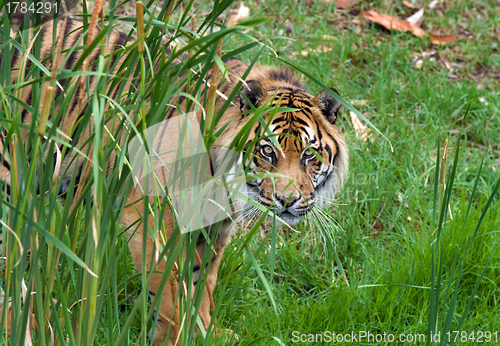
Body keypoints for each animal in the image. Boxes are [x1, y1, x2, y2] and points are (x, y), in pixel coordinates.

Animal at [0, 12, 350, 344]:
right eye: (267, 151)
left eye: (309, 155)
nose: (288, 200)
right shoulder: (149, 217)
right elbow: (168, 291)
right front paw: (173, 338)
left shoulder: (211, 229)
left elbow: (202, 286)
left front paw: (210, 334)